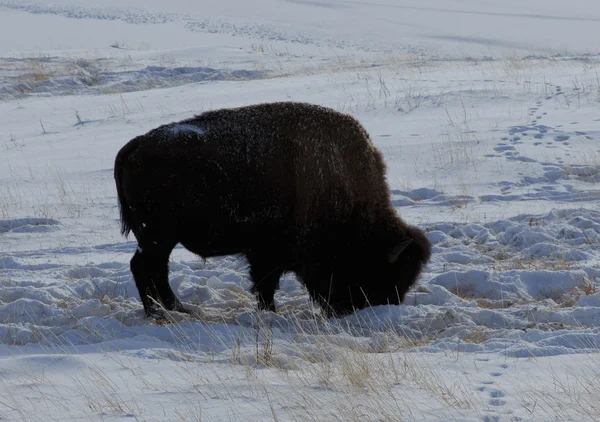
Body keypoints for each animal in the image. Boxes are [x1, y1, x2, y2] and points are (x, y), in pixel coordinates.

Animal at [113, 102, 432, 316]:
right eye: (381, 272)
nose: (380, 309)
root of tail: (134, 146)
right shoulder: (267, 253)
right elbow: (266, 285)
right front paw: (270, 313)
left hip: (158, 238)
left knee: (155, 270)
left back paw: (175, 309)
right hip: (158, 237)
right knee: (146, 268)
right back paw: (161, 313)